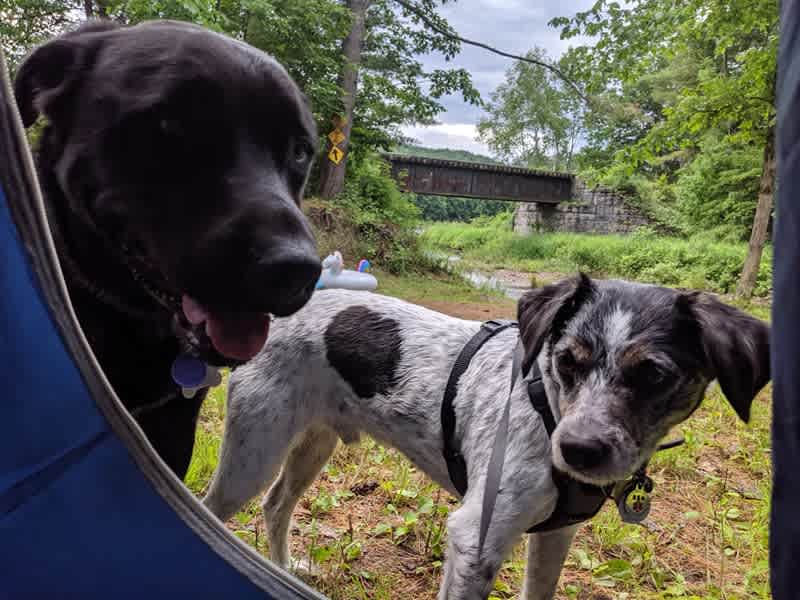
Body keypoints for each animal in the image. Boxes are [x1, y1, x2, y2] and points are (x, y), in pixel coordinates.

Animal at [203, 276, 772, 600]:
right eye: (566, 360)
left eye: (653, 374)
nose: (577, 450)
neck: (546, 408)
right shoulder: (475, 540)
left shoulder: (554, 536)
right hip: (252, 455)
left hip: (312, 444)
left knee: (277, 505)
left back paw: (279, 570)